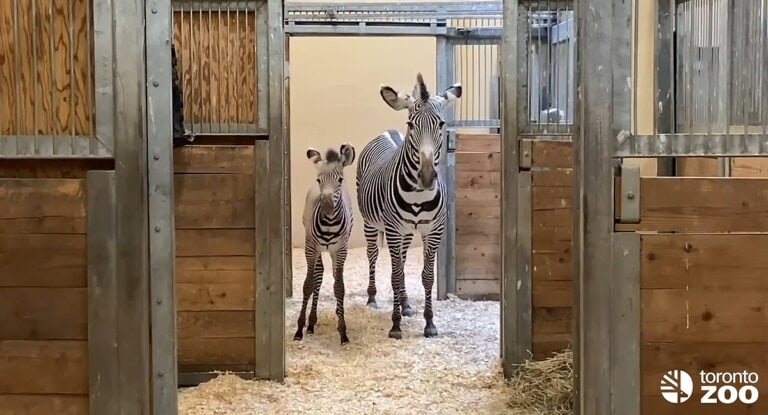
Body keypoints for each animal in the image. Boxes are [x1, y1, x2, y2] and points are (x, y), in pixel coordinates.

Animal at [294, 143, 356, 345]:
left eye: (340, 180)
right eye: (319, 180)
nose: (327, 207)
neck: (329, 223)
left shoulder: (341, 250)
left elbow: (339, 287)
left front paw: (343, 331)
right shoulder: (311, 247)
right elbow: (308, 284)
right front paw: (300, 328)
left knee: (335, 276)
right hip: (316, 248)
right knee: (318, 275)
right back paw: (311, 322)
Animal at [356, 73, 461, 339]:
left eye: (441, 124)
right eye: (411, 124)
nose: (426, 177)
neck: (418, 196)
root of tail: (389, 131)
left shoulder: (433, 231)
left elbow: (426, 276)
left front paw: (429, 323)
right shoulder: (393, 230)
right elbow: (394, 275)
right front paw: (395, 326)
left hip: (405, 233)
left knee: (402, 261)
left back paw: (405, 304)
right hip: (371, 223)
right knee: (373, 254)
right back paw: (372, 298)